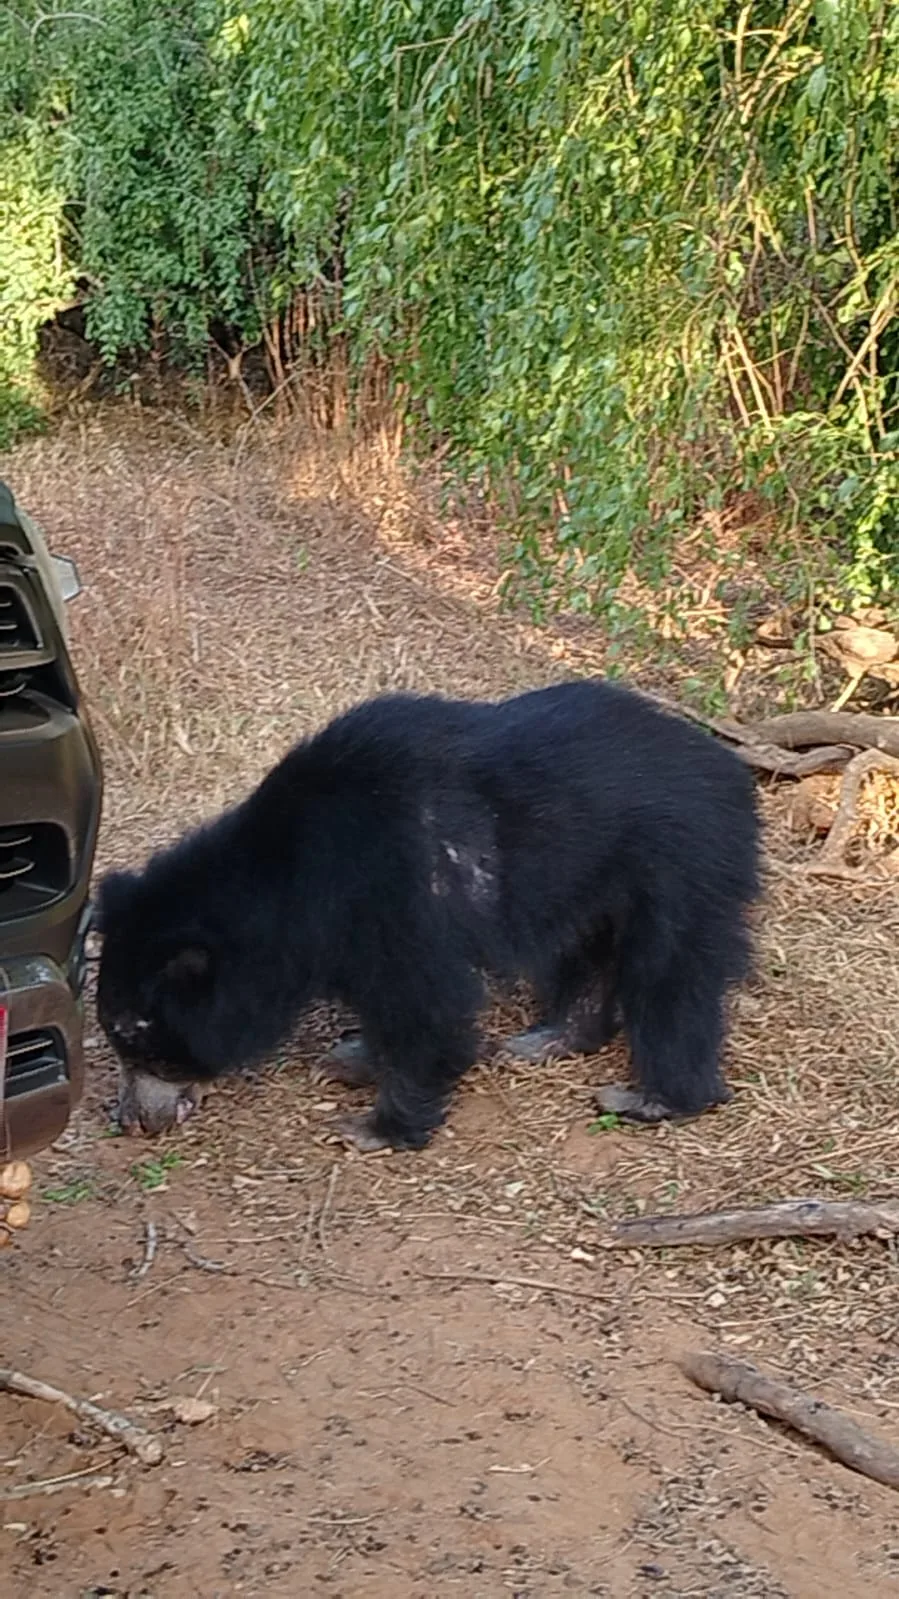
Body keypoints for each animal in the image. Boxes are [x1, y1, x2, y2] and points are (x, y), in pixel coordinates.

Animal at [96, 679, 761, 1149]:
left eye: (145, 1047)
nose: (133, 1120)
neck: (290, 876)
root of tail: (732, 772)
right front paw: (352, 1059)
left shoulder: (396, 896)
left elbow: (427, 1007)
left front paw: (372, 1128)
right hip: (595, 880)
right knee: (585, 955)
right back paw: (547, 1039)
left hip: (682, 863)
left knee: (671, 979)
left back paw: (654, 1099)